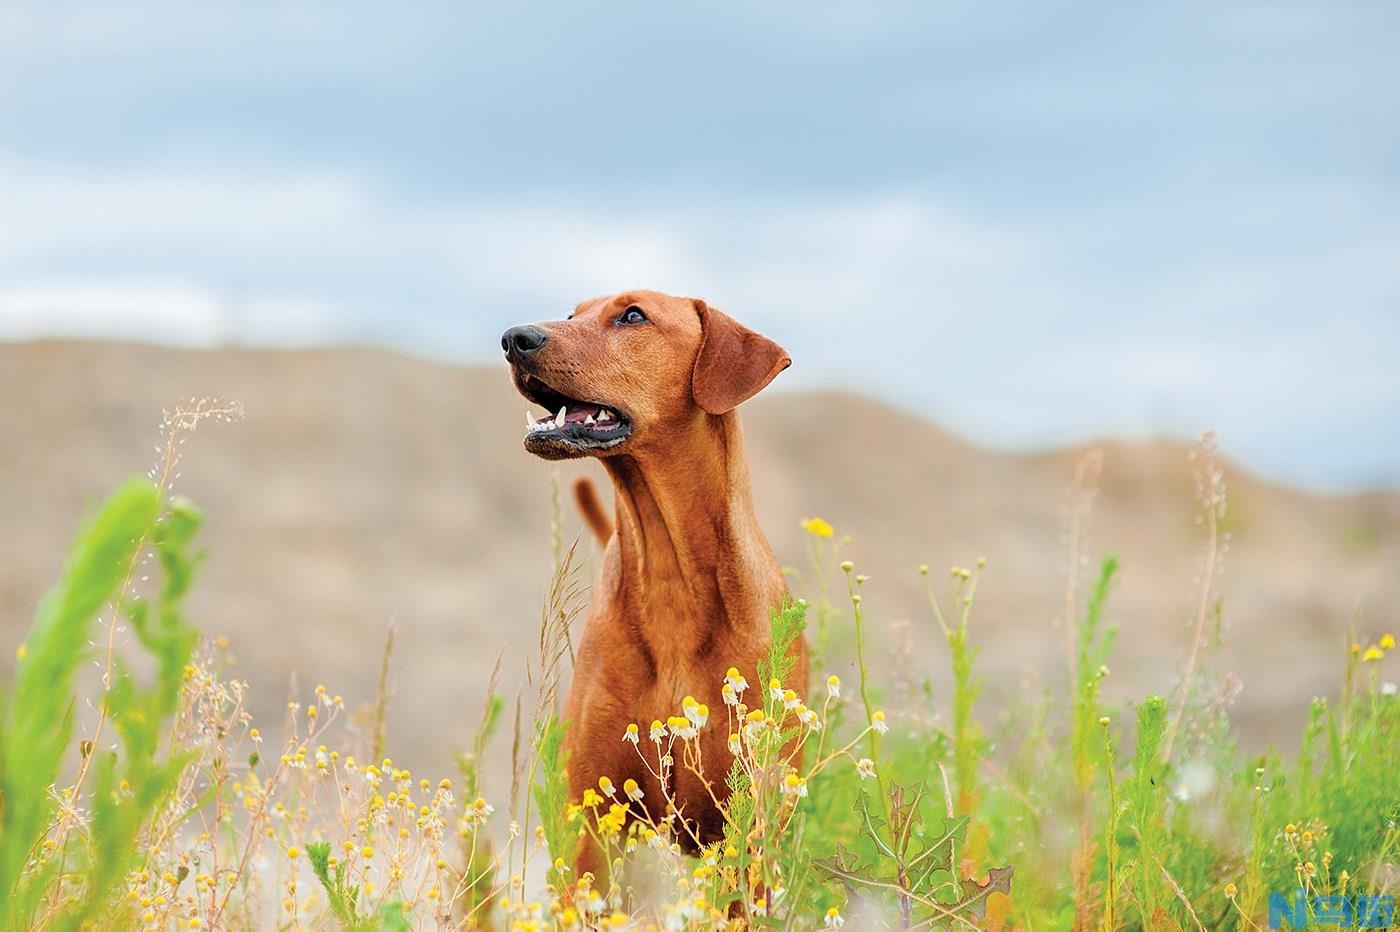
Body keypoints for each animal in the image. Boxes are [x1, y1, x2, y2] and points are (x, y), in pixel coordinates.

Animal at [504, 288, 812, 873]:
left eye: (632, 316)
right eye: (574, 314)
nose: (514, 337)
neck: (670, 576)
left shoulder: (748, 830)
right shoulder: (592, 821)